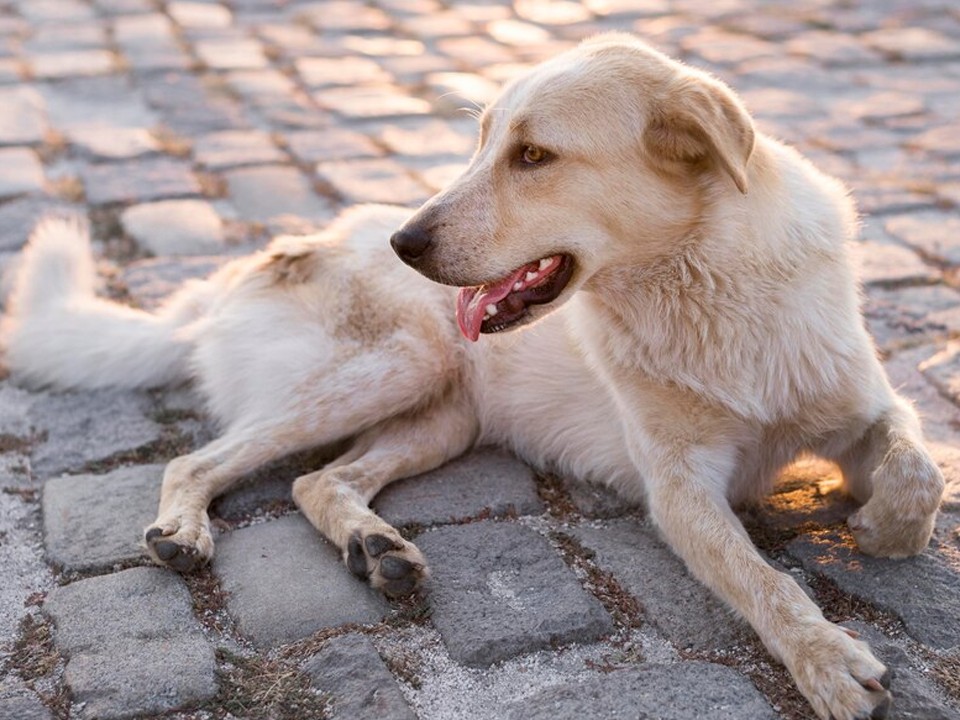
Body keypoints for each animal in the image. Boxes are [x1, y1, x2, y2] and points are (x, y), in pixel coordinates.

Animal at [0, 33, 944, 720]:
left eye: (533, 156)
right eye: (484, 140)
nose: (404, 244)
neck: (709, 288)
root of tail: (233, 272)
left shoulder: (866, 405)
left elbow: (918, 467)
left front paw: (880, 526)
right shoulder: (679, 491)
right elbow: (764, 580)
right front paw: (826, 656)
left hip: (440, 418)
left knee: (318, 481)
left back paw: (376, 549)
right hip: (397, 364)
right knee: (197, 460)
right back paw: (185, 532)